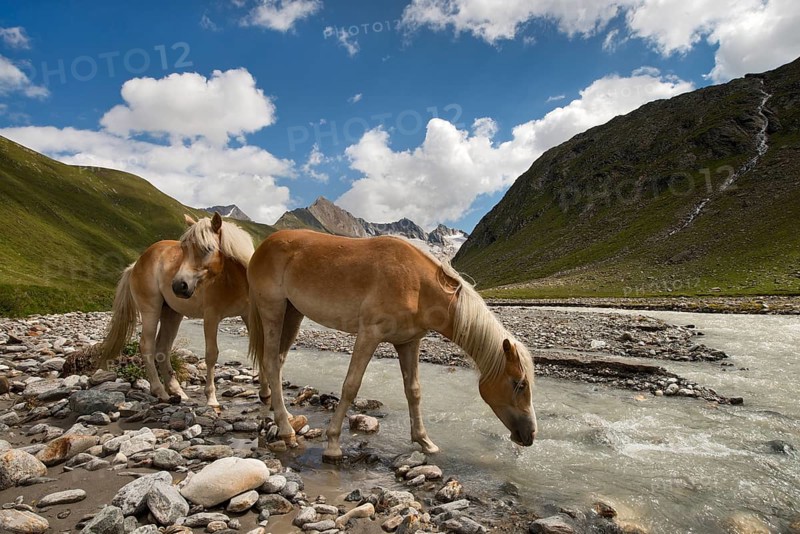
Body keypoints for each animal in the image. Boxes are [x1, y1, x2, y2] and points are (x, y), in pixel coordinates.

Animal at [97, 212, 255, 407]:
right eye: (184, 249)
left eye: (208, 248)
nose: (179, 286)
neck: (232, 278)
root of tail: (136, 264)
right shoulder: (211, 317)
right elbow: (211, 354)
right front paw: (211, 398)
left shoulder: (249, 316)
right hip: (151, 311)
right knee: (147, 346)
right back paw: (160, 391)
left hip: (172, 314)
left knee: (163, 348)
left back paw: (177, 391)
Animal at [247, 229, 537, 463]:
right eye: (519, 384)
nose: (530, 435)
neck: (417, 285)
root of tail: (264, 245)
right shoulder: (369, 334)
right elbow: (351, 386)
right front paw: (333, 444)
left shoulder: (408, 342)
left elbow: (414, 391)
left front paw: (425, 442)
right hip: (273, 310)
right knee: (271, 362)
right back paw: (287, 432)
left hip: (293, 313)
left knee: (278, 361)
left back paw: (281, 416)